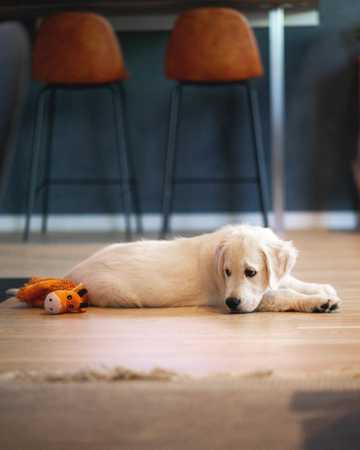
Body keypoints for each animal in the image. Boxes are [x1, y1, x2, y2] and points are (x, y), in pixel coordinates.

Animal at [67, 225, 340, 312]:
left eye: (251, 272)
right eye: (227, 272)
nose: (232, 303)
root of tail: (72, 273)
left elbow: (287, 281)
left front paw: (322, 288)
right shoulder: (239, 297)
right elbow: (283, 295)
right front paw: (320, 302)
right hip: (119, 294)